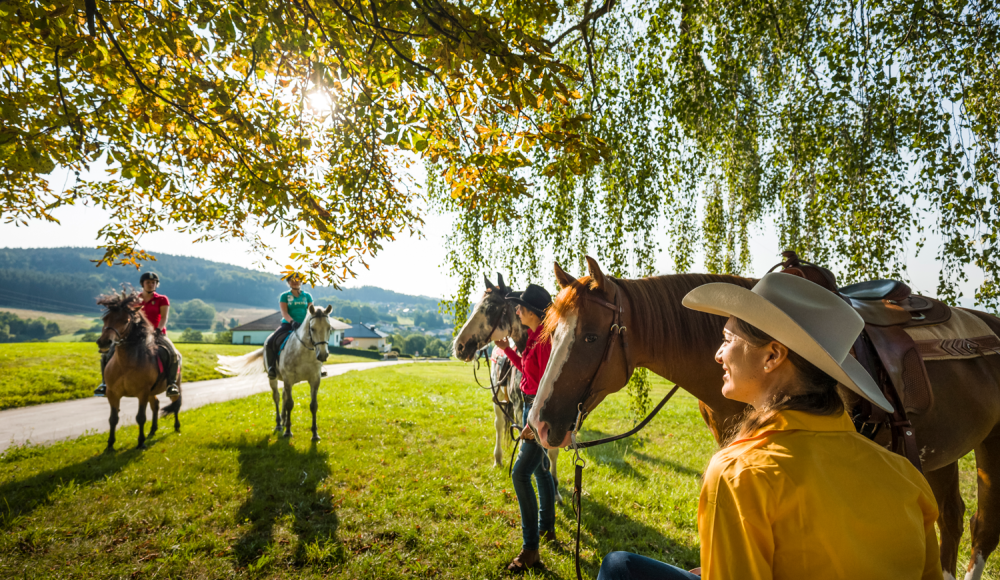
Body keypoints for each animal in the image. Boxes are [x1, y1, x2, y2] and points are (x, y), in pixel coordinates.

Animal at [96, 290, 182, 454]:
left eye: (125, 321)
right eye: (105, 319)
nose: (104, 342)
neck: (125, 364)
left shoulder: (142, 393)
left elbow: (140, 417)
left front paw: (141, 443)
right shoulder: (112, 393)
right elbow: (113, 419)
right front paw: (110, 445)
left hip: (174, 385)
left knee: (176, 403)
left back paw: (176, 427)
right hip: (151, 392)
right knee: (156, 405)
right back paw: (153, 430)